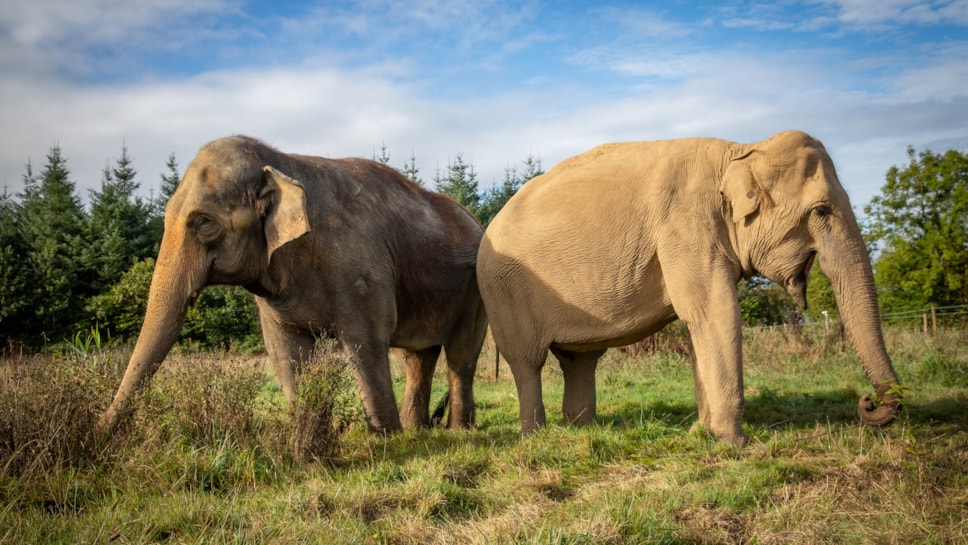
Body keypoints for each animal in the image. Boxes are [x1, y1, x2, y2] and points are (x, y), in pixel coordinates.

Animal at [96, 136, 488, 436]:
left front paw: (385, 440)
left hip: (475, 291)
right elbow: (286, 351)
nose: (100, 434)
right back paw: (418, 429)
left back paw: (457, 432)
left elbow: (366, 339)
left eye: (204, 222)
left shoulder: (361, 267)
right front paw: (306, 440)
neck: (282, 163)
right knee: (416, 356)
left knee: (460, 355)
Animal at [477, 130, 902, 446]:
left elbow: (702, 323)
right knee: (527, 362)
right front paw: (734, 444)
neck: (741, 151)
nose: (866, 402)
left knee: (580, 360)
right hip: (503, 292)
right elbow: (714, 311)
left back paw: (585, 430)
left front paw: (704, 433)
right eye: (821, 211)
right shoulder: (686, 227)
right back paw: (535, 437)